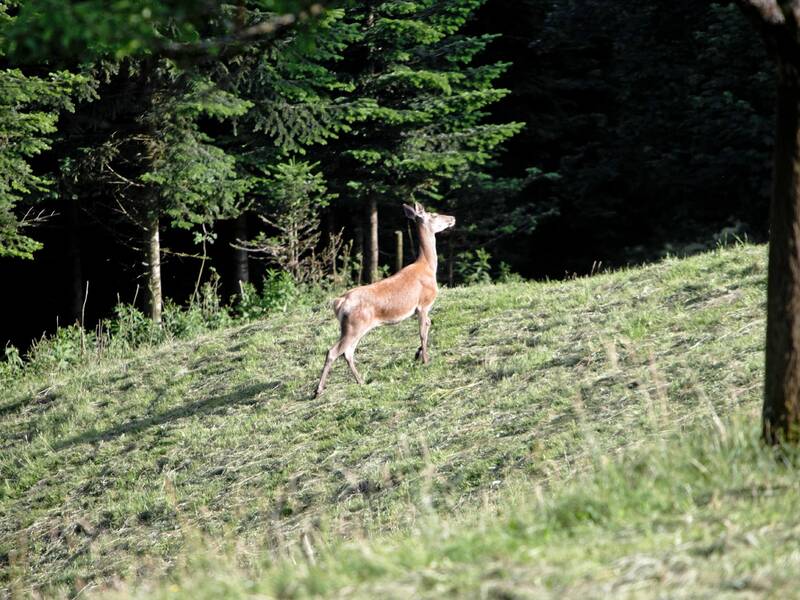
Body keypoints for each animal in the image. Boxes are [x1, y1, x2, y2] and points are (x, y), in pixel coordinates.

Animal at [315, 202, 456, 397]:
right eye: (433, 214)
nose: (452, 218)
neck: (427, 266)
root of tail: (340, 302)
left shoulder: (422, 309)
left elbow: (428, 326)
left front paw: (418, 354)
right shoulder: (423, 304)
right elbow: (422, 331)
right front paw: (425, 360)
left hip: (349, 327)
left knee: (347, 352)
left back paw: (361, 381)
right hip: (355, 325)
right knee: (333, 351)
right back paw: (318, 390)